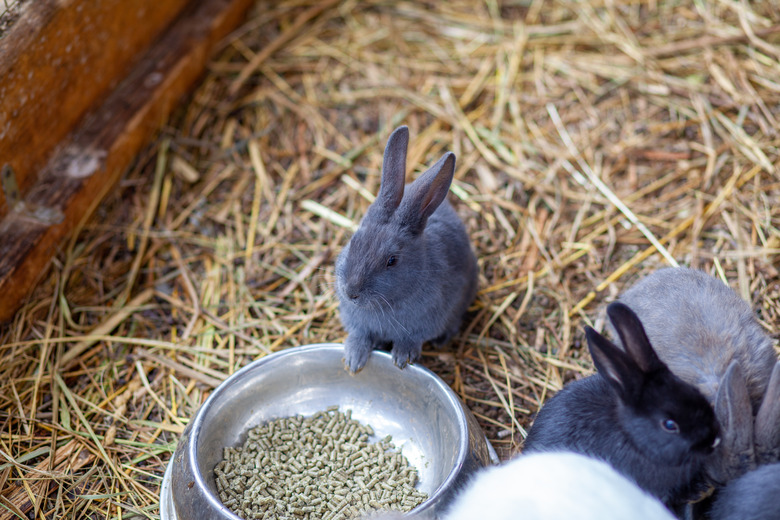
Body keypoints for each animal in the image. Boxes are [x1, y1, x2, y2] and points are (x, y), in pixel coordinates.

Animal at [336, 128, 478, 376]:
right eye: (354, 241)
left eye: (392, 260)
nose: (351, 292)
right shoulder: (358, 323)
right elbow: (359, 335)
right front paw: (353, 359)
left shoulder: (425, 323)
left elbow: (411, 339)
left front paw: (402, 357)